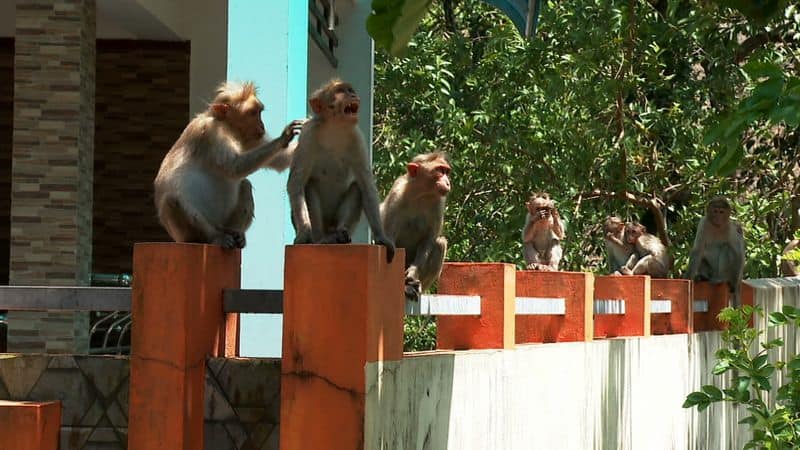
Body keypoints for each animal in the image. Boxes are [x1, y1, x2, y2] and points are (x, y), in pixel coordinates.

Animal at [155, 81, 304, 250]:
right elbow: (234, 167)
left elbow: (281, 159)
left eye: (259, 112)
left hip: (223, 222)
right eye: (253, 113)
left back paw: (236, 233)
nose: (262, 126)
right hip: (187, 232)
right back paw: (213, 238)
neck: (227, 127)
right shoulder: (211, 132)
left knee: (245, 185)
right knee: (173, 200)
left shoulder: (250, 140)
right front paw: (284, 137)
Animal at [290, 78, 396, 262]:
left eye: (350, 90)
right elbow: (296, 183)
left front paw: (381, 237)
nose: (353, 95)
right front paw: (304, 233)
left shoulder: (357, 138)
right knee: (308, 185)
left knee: (357, 188)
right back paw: (321, 240)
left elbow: (366, 186)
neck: (335, 128)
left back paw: (341, 234)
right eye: (341, 91)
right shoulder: (308, 135)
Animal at [380, 152, 450, 302]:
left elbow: (428, 241)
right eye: (439, 170)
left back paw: (414, 285)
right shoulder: (397, 193)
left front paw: (412, 274)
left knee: (440, 243)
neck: (421, 195)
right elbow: (389, 239)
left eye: (446, 171)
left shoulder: (438, 203)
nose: (448, 182)